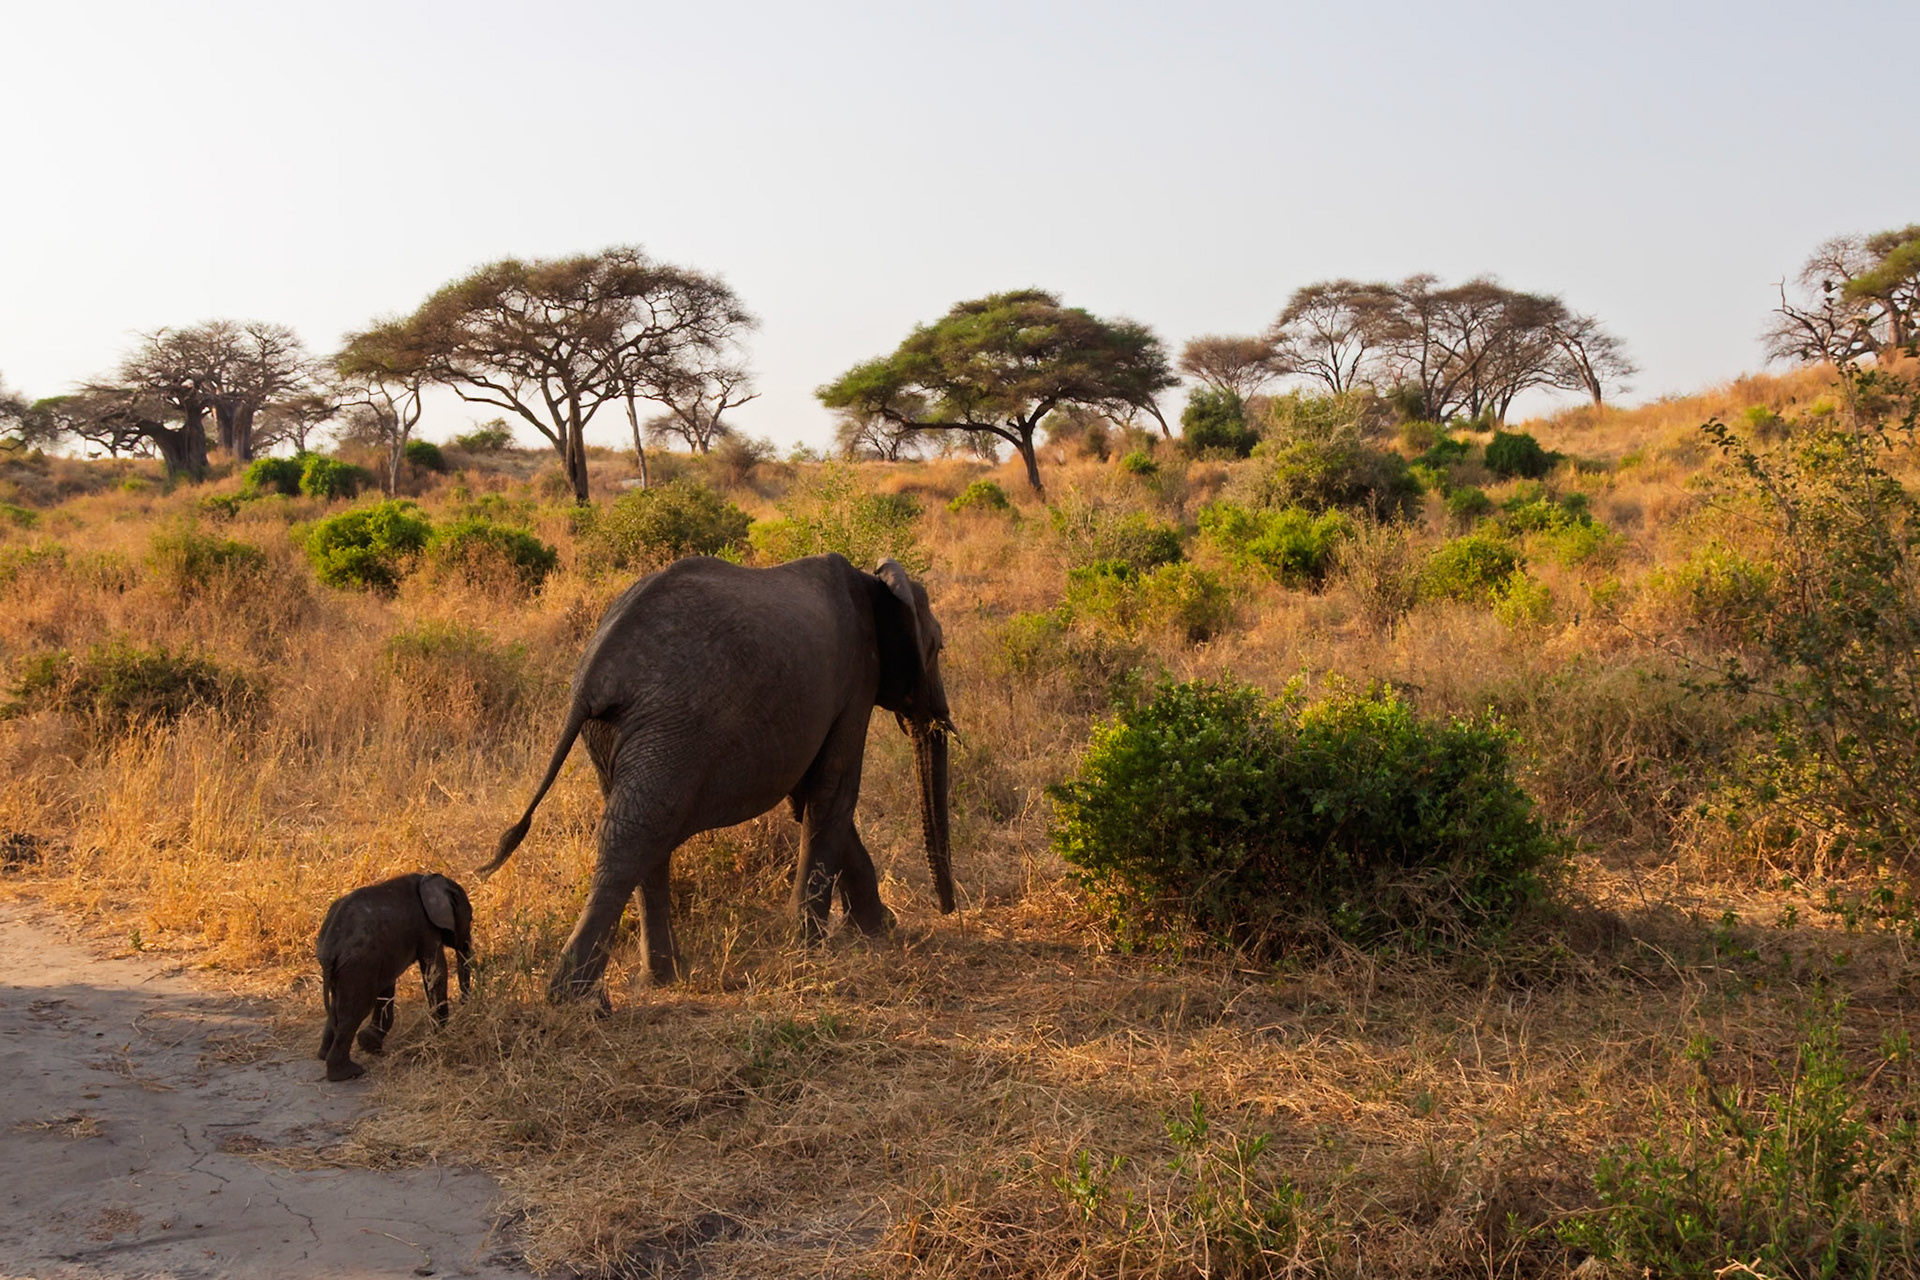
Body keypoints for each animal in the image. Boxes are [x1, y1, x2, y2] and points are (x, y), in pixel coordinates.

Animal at [315, 872, 474, 1082]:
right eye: (470, 918)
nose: (464, 1004)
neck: (428, 878)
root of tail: (329, 948)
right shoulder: (426, 928)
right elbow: (436, 972)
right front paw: (441, 1034)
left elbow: (388, 985)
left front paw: (370, 1043)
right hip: (357, 964)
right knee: (354, 1011)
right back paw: (349, 1073)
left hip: (347, 967)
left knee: (337, 1006)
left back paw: (324, 1057)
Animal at [478, 553, 954, 1002]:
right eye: (939, 647)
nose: (949, 910)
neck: (874, 581)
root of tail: (594, 675)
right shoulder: (857, 678)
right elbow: (832, 794)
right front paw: (815, 948)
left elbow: (806, 797)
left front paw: (876, 932)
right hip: (672, 729)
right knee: (636, 834)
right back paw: (575, 996)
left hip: (620, 735)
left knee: (642, 831)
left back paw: (659, 978)